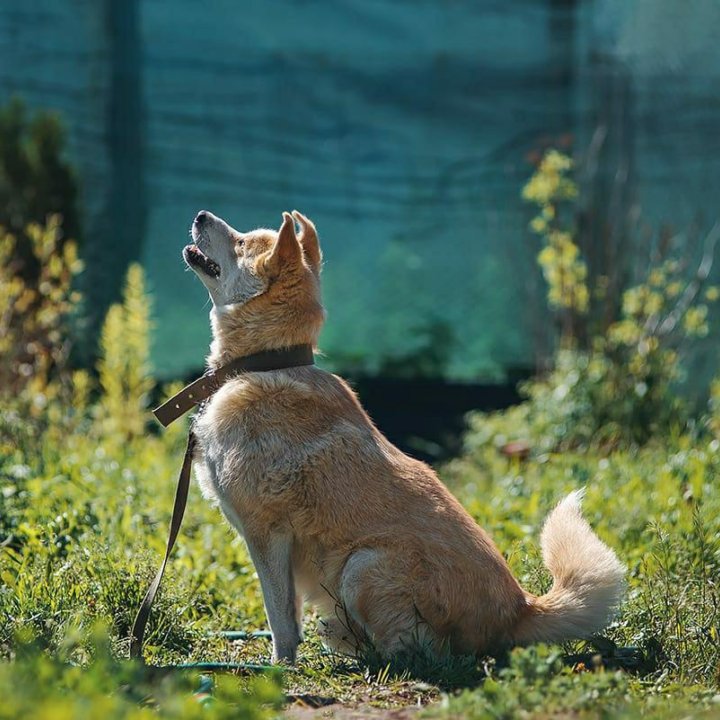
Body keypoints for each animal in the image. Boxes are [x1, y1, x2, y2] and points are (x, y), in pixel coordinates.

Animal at [181, 208, 624, 664]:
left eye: (241, 243)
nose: (200, 214)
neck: (266, 362)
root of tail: (519, 610)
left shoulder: (267, 534)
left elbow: (281, 617)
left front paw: (280, 667)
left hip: (362, 566)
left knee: (420, 652)